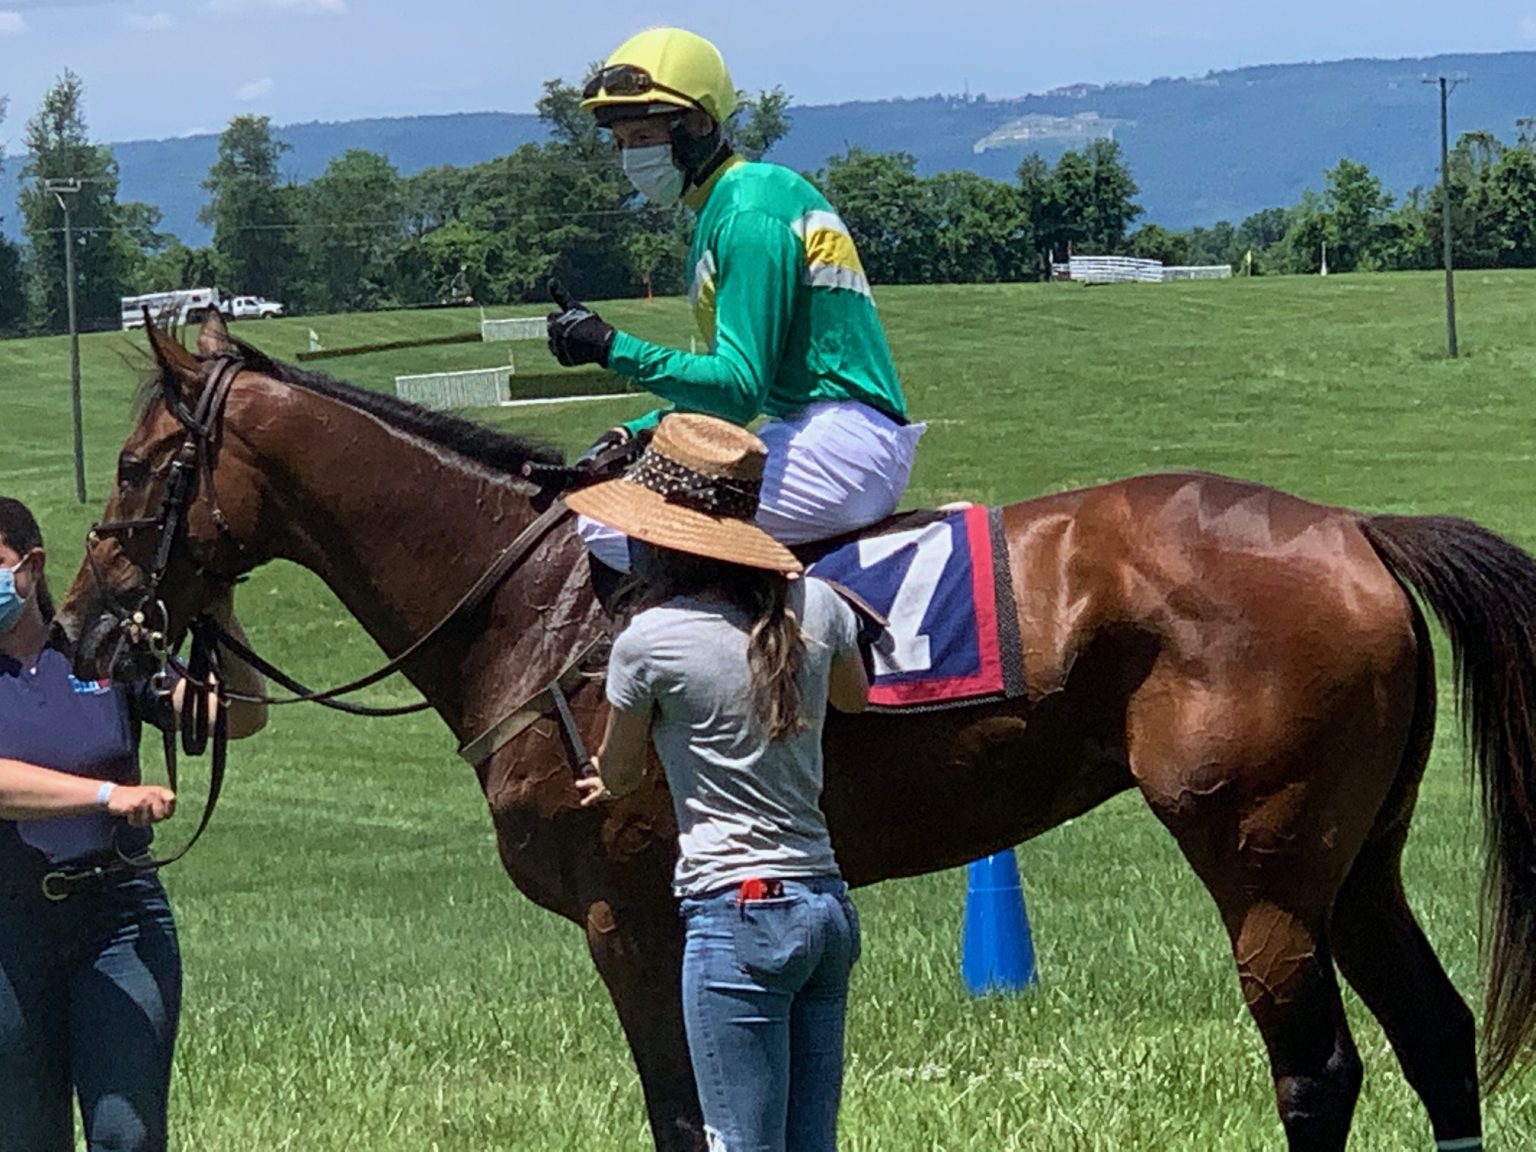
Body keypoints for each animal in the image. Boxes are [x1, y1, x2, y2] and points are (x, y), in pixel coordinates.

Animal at [54, 311, 1536, 1148]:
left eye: (134, 468)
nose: (82, 633)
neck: (530, 598)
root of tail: (1349, 529)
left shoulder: (632, 918)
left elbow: (689, 1112)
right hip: (1355, 861)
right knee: (1434, 1036)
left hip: (1262, 865)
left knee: (1320, 1073)